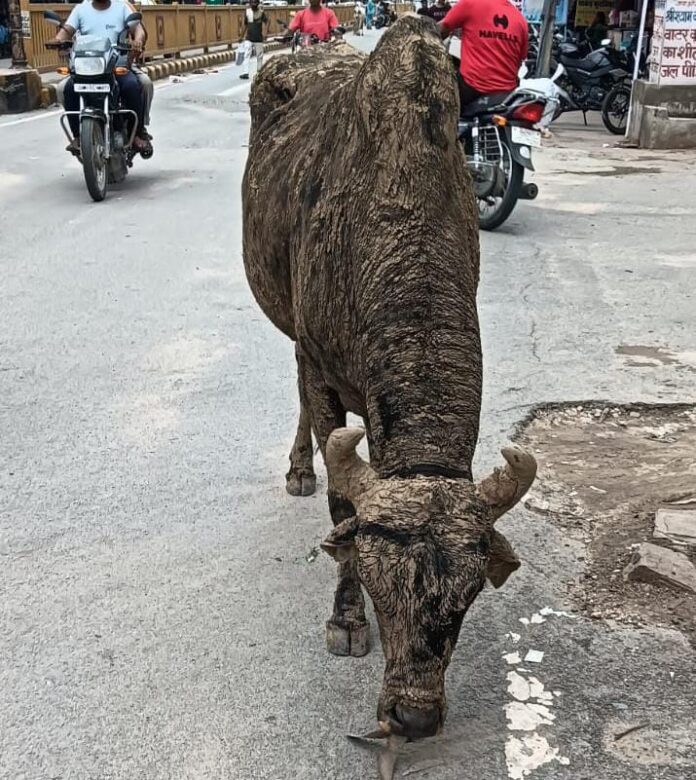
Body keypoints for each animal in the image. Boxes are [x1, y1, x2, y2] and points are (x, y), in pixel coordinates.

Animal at [242, 15, 536, 741]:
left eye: (468, 596)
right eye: (379, 589)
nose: (413, 714)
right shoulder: (320, 366)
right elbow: (343, 505)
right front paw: (345, 620)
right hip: (294, 336)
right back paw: (298, 467)